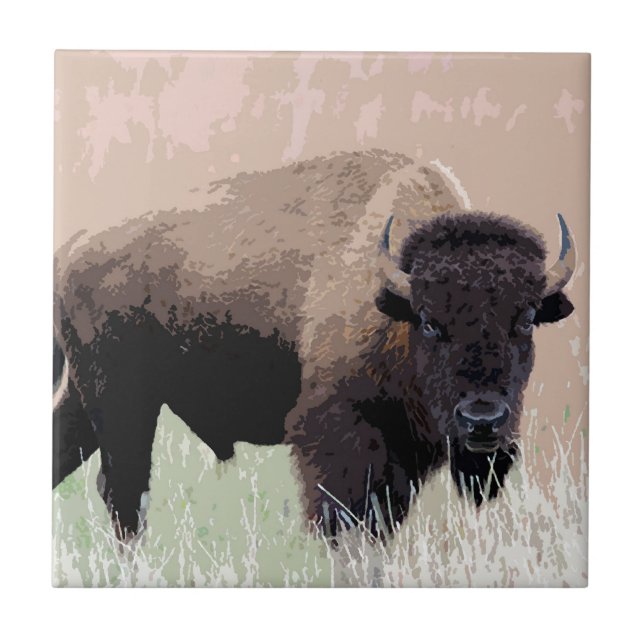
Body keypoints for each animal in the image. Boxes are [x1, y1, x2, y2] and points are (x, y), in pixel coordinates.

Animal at [53, 149, 575, 539]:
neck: (393, 297)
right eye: (429, 322)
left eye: (527, 319)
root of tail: (73, 248)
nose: (482, 420)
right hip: (121, 404)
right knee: (124, 493)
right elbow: (344, 520)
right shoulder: (341, 441)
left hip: (88, 397)